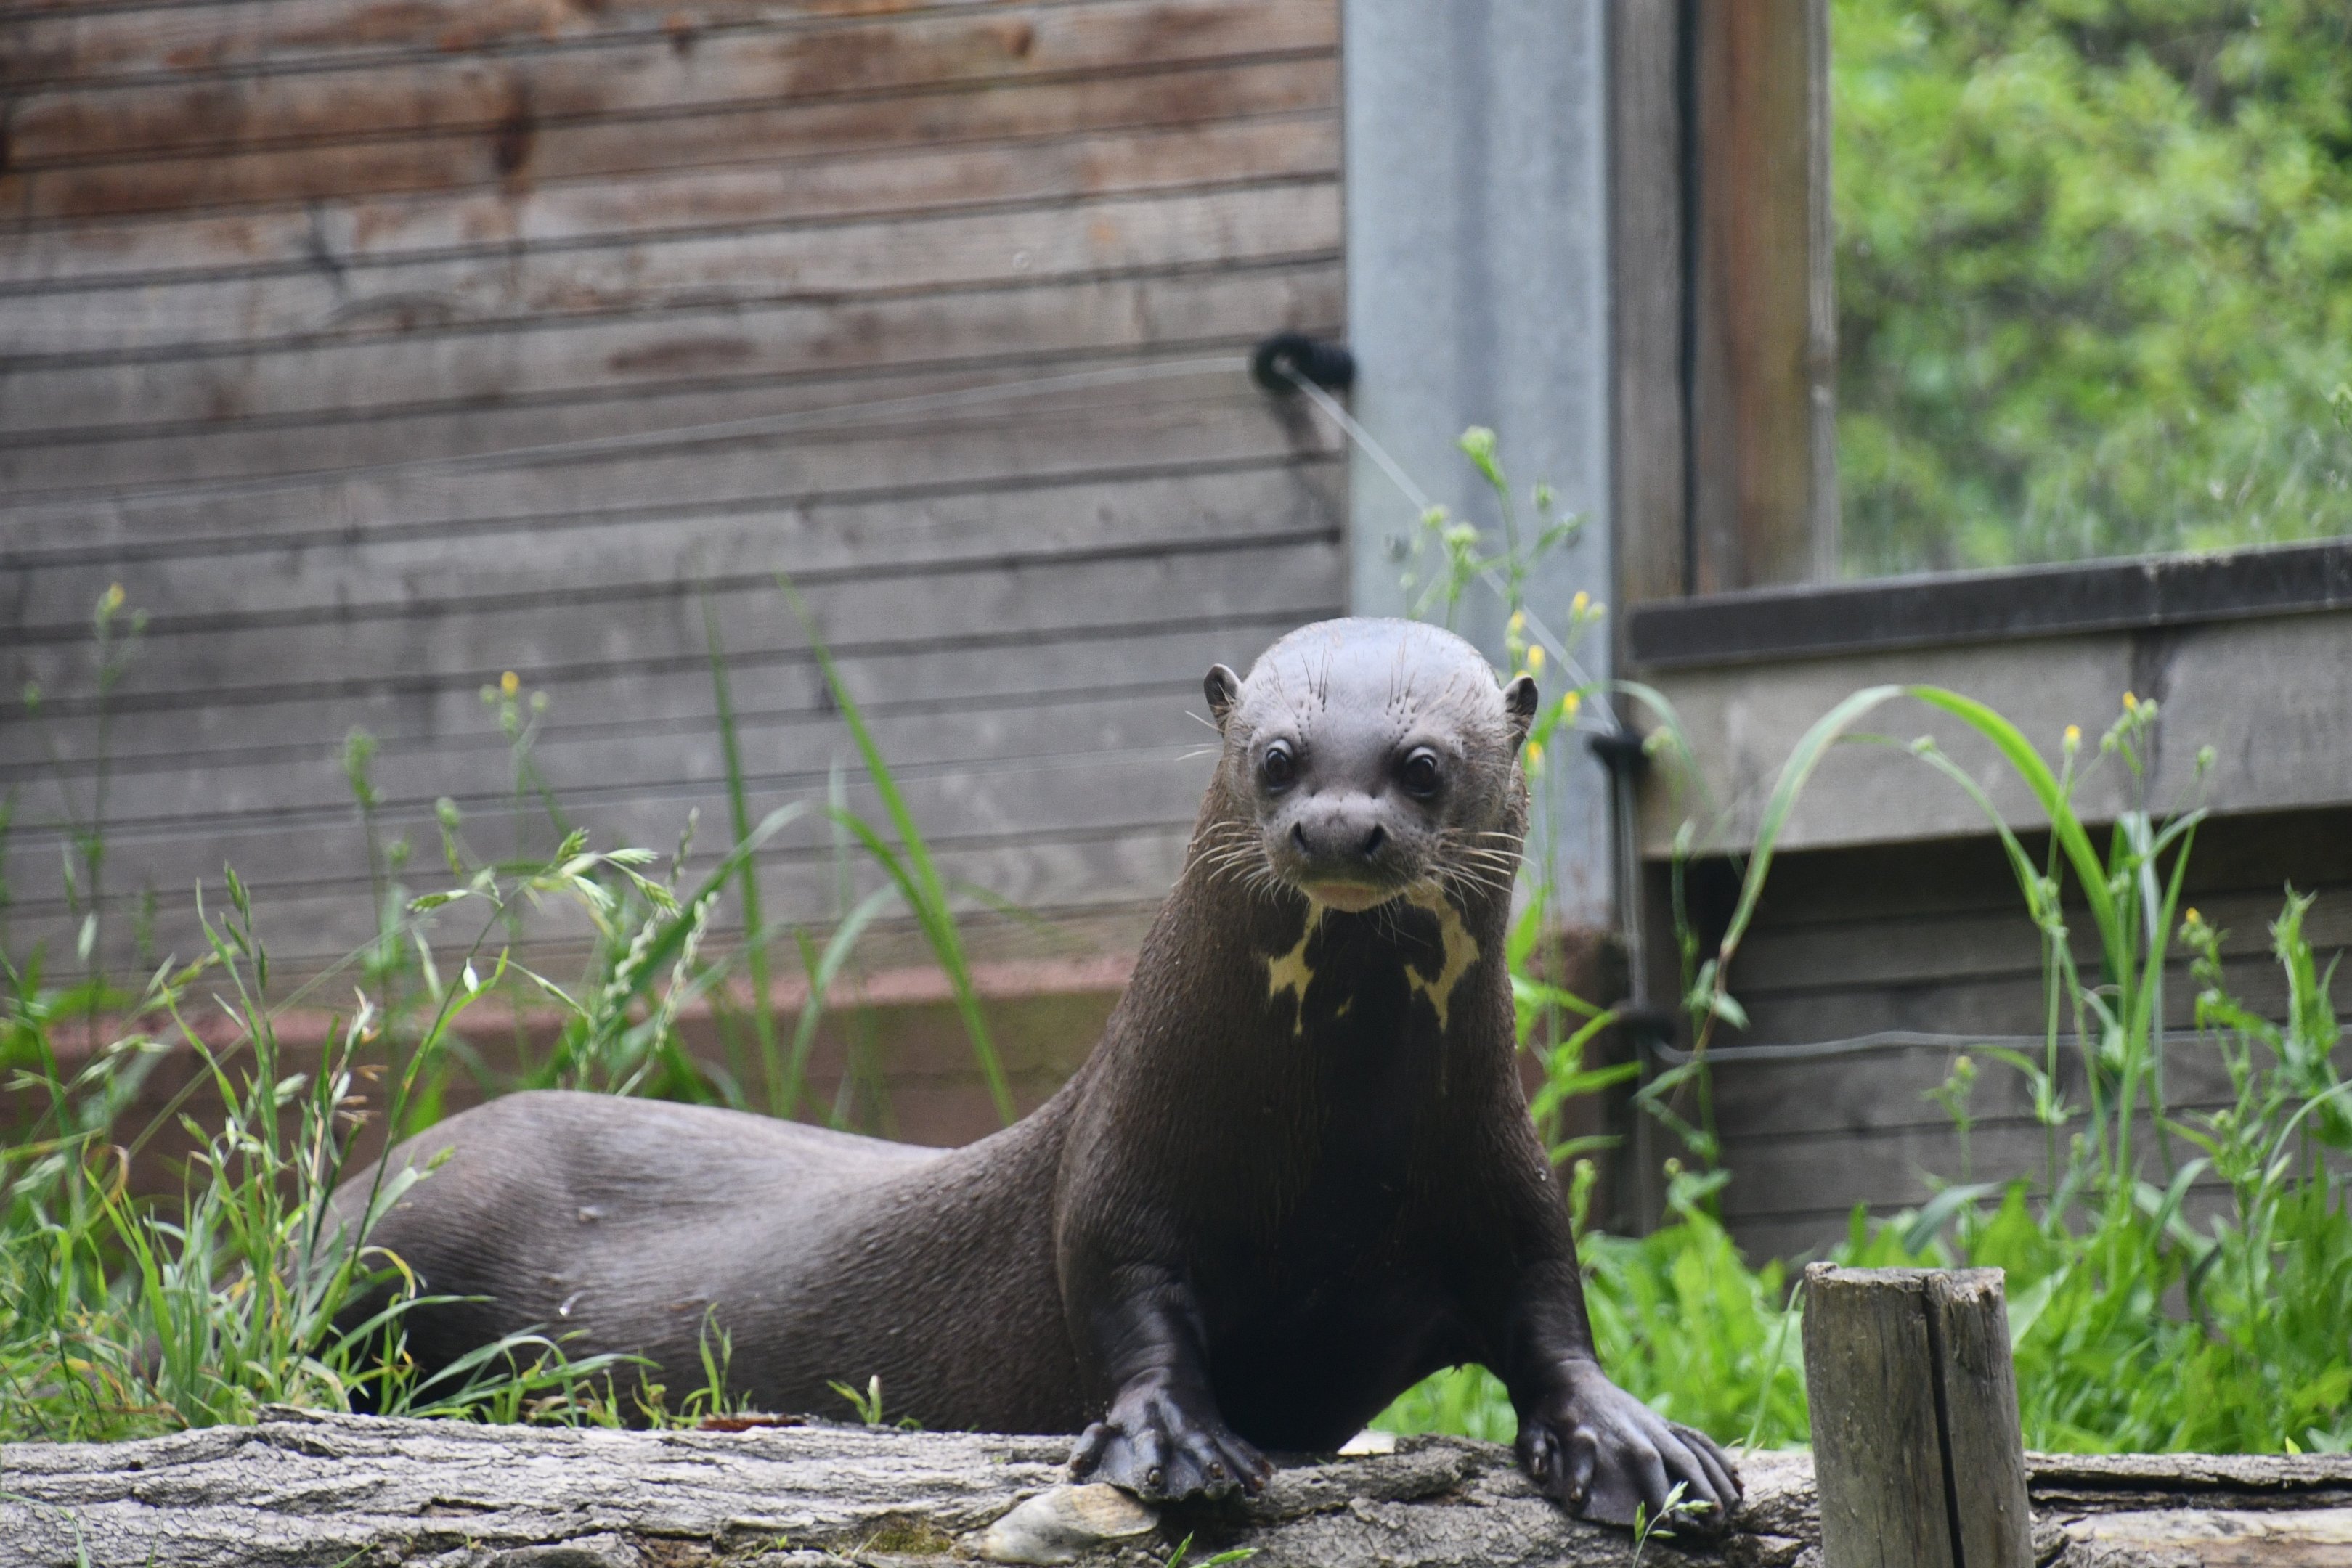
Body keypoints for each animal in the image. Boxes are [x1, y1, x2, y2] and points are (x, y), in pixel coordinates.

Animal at [330, 618, 1738, 1530]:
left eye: (1423, 766)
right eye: (1275, 755)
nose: (1339, 828)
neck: (1335, 1146)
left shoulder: (1494, 1174)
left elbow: (1546, 1311)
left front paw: (1636, 1446)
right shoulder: (1123, 1163)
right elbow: (1123, 1296)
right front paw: (1175, 1445)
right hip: (401, 1240)